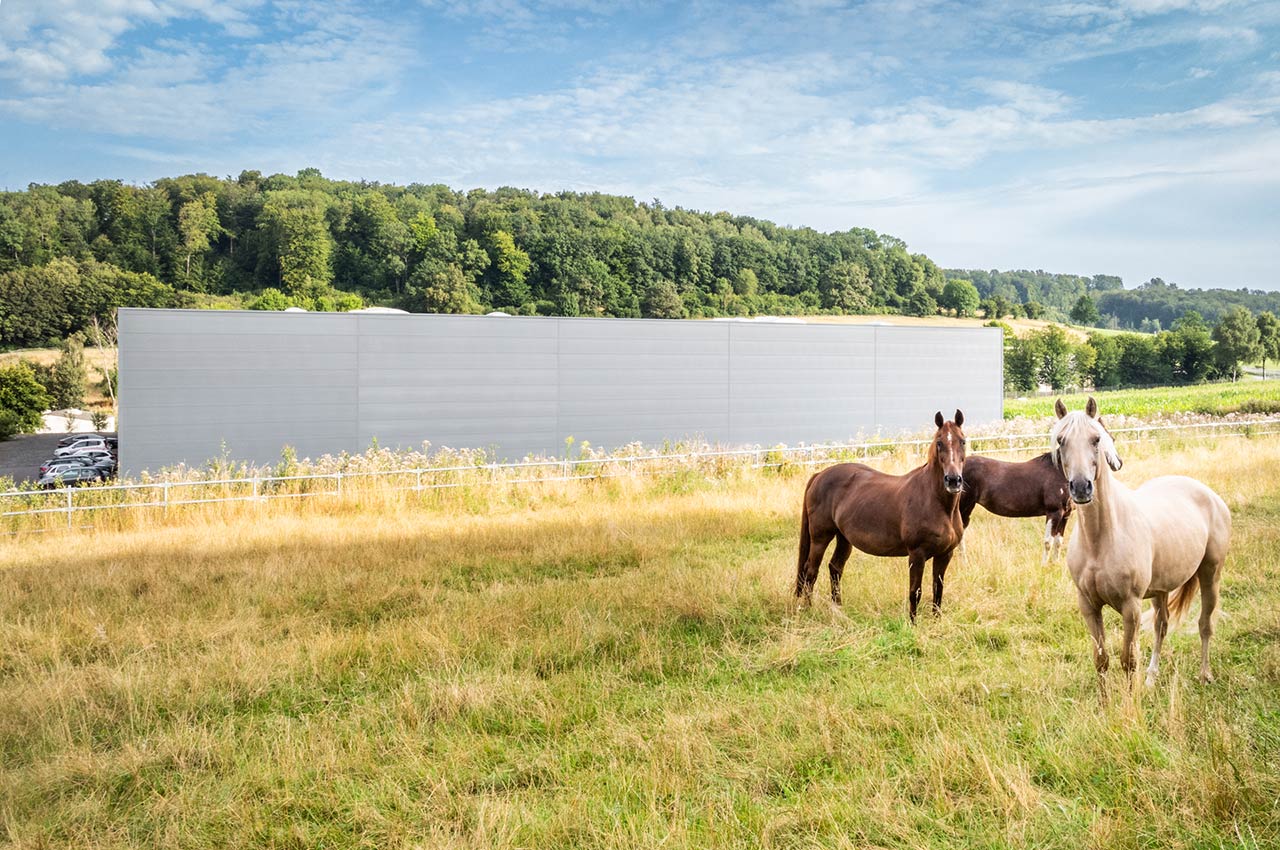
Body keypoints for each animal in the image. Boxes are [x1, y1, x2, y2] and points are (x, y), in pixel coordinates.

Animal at [793, 409, 962, 622]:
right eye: (939, 443)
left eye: (962, 441)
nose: (953, 480)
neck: (936, 502)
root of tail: (819, 474)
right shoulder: (917, 554)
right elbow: (915, 591)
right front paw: (913, 624)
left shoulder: (945, 554)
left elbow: (937, 589)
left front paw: (936, 621)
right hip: (820, 538)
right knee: (810, 572)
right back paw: (809, 610)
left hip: (844, 538)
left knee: (835, 568)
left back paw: (838, 609)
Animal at [1049, 394, 1228, 686]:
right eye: (1061, 440)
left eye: (1096, 439)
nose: (1081, 487)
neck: (1101, 541)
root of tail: (1209, 495)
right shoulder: (1088, 606)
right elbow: (1101, 660)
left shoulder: (1130, 607)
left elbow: (1128, 660)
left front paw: (1131, 697)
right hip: (1160, 590)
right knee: (1161, 626)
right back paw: (1152, 677)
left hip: (1210, 575)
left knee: (1205, 624)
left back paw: (1205, 674)